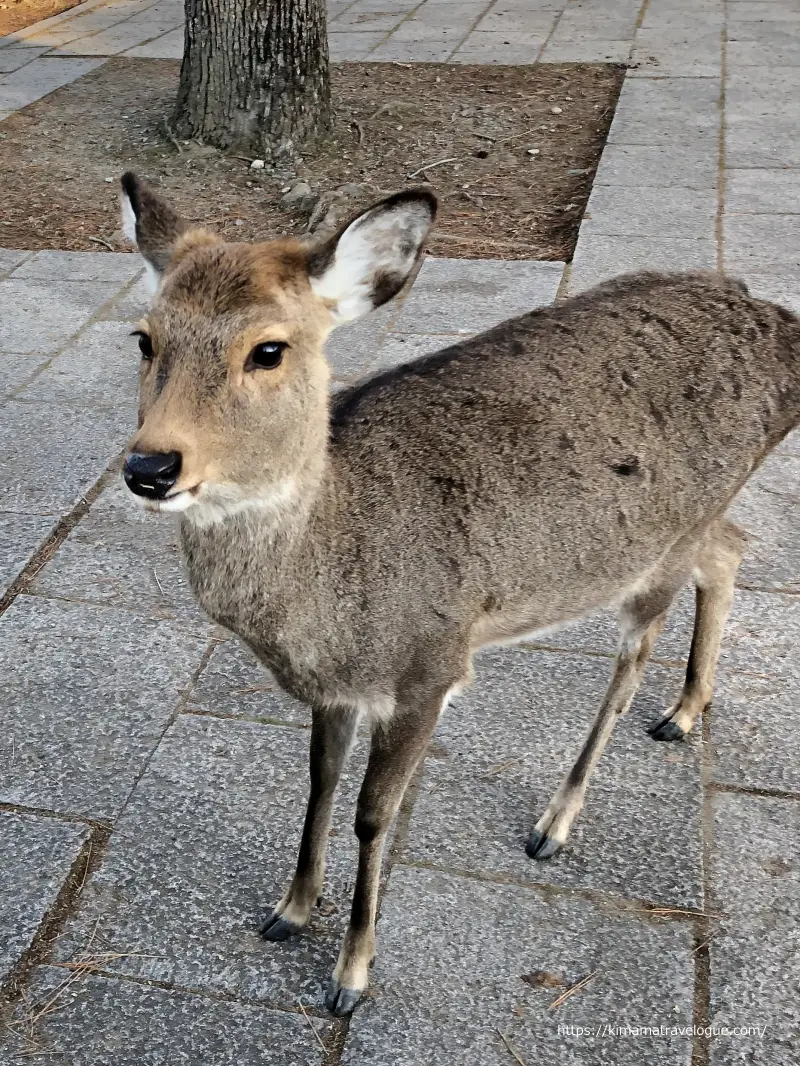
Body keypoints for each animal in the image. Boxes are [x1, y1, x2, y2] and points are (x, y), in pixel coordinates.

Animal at [118, 174, 800, 1014]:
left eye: (268, 349)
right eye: (145, 338)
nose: (150, 467)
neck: (329, 603)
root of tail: (780, 321)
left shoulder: (430, 668)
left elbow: (372, 814)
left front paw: (352, 974)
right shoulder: (339, 689)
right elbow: (318, 782)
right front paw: (289, 910)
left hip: (663, 545)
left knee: (636, 652)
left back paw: (555, 823)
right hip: (695, 525)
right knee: (732, 551)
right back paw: (683, 712)